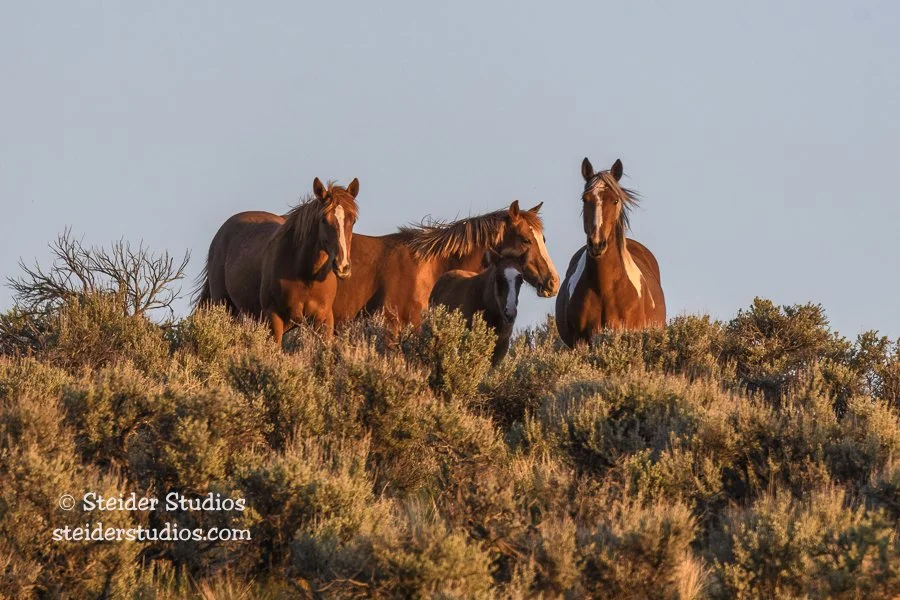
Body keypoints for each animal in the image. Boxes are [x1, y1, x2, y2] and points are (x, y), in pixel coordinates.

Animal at [195, 177, 360, 344]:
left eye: (353, 220)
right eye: (324, 220)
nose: (342, 266)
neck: (306, 275)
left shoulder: (324, 319)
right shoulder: (274, 318)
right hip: (225, 305)